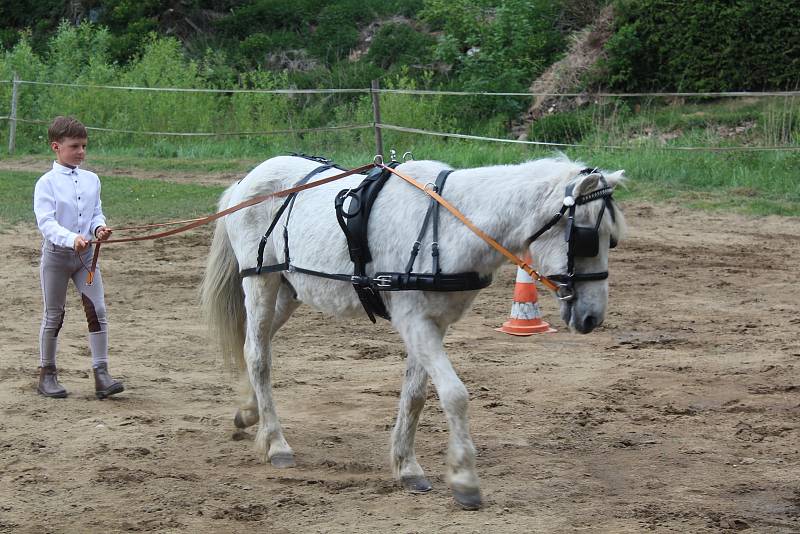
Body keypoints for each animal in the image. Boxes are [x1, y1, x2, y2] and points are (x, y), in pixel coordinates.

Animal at [200, 154, 624, 510]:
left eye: (613, 239)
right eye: (587, 238)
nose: (592, 318)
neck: (447, 225)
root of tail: (245, 181)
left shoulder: (433, 323)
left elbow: (416, 395)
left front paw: (407, 467)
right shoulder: (413, 320)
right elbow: (454, 394)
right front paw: (465, 480)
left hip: (290, 290)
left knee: (256, 344)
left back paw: (248, 413)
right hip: (261, 282)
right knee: (258, 355)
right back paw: (276, 443)